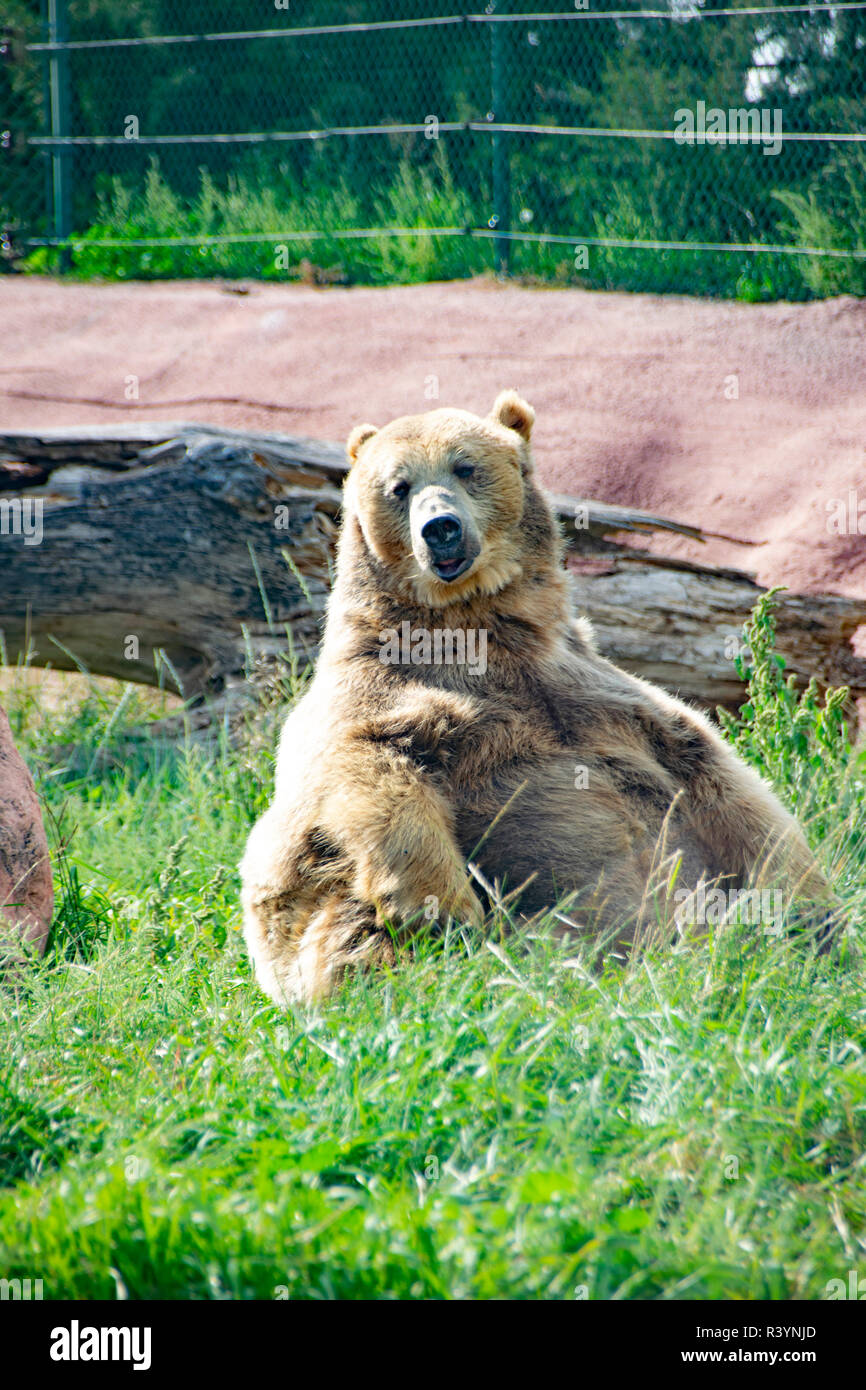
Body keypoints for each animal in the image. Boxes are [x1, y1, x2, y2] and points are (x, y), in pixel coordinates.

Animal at [239, 386, 834, 1006]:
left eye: (465, 466)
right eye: (398, 486)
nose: (440, 528)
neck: (478, 627)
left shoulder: (599, 694)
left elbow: (724, 783)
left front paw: (806, 910)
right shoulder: (377, 692)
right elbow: (365, 766)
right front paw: (443, 909)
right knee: (354, 930)